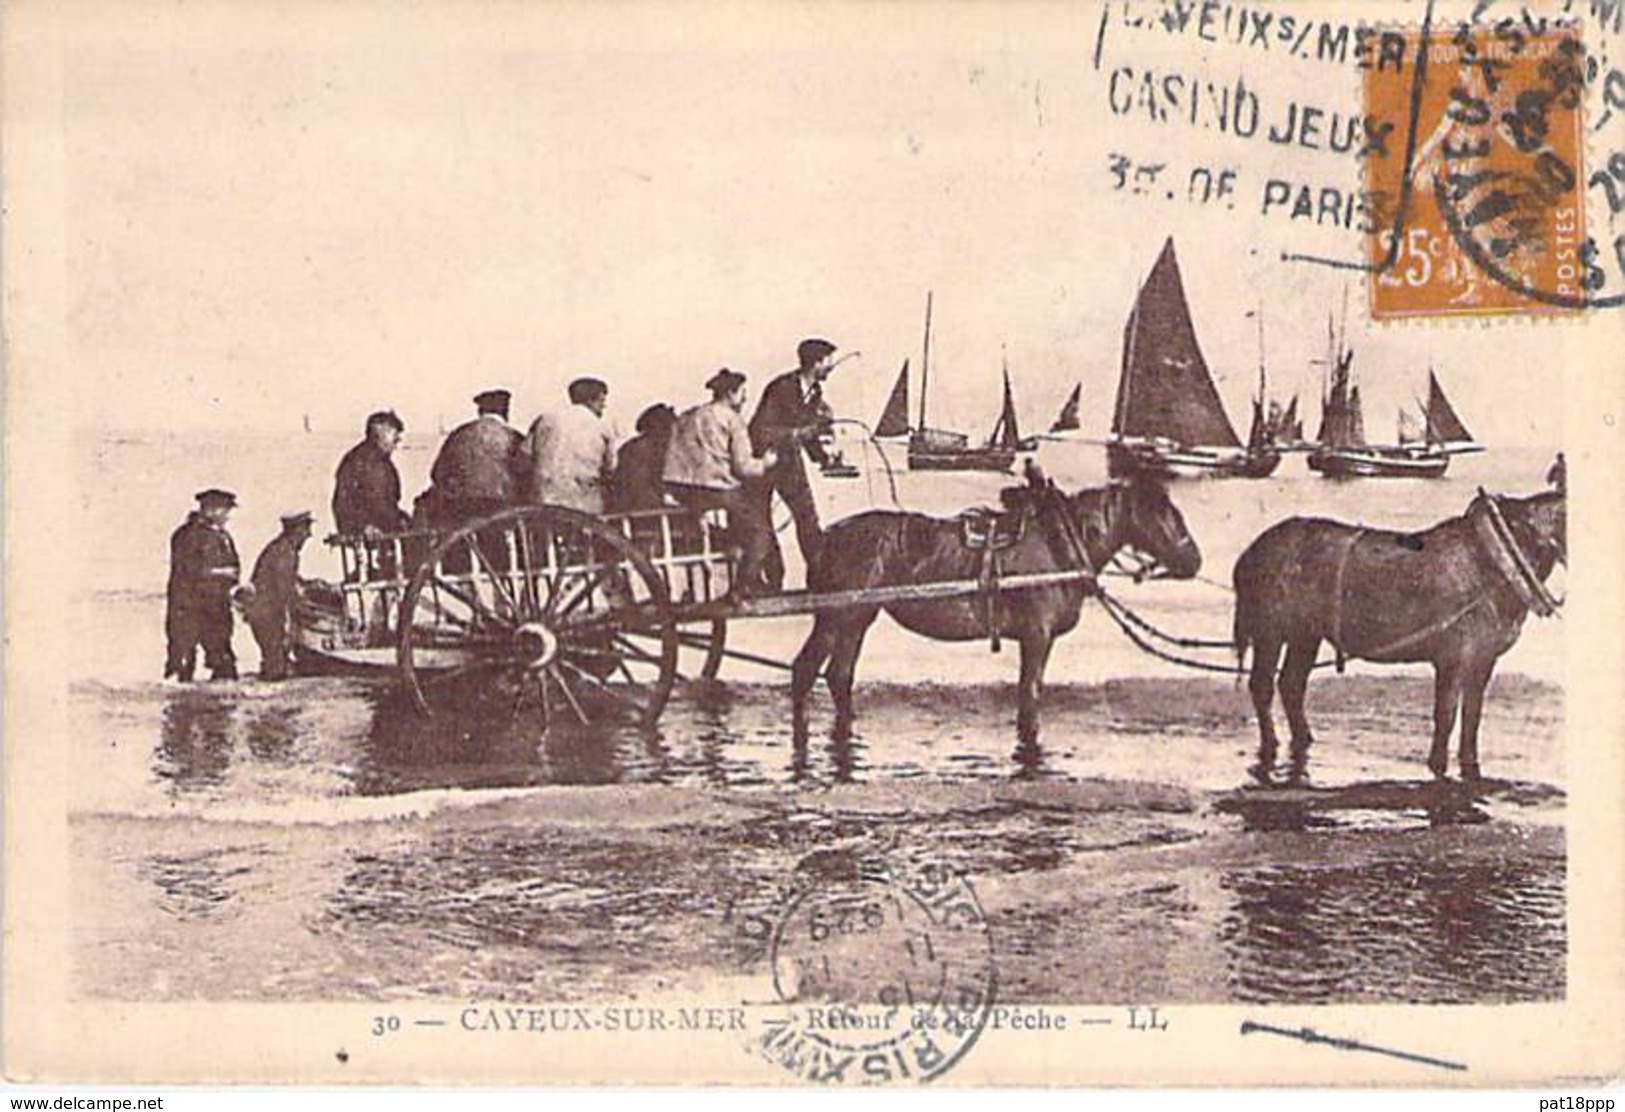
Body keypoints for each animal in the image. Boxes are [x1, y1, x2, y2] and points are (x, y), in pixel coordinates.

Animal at [793, 474, 1202, 741]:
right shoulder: (1036, 635)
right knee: (805, 671)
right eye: (1166, 514)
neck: (1060, 544)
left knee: (839, 676)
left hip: (857, 619)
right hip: (836, 618)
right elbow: (1029, 693)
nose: (1194, 560)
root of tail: (825, 538)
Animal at [1235, 490, 1566, 786]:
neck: (1496, 565)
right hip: (1270, 630)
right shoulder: (1452, 658)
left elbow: (1473, 715)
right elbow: (1445, 715)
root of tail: (1248, 554)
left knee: (1291, 684)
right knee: (1262, 685)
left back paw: (1304, 738)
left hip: (1305, 633)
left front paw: (1470, 765)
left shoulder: (1484, 659)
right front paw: (1437, 766)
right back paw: (1271, 744)